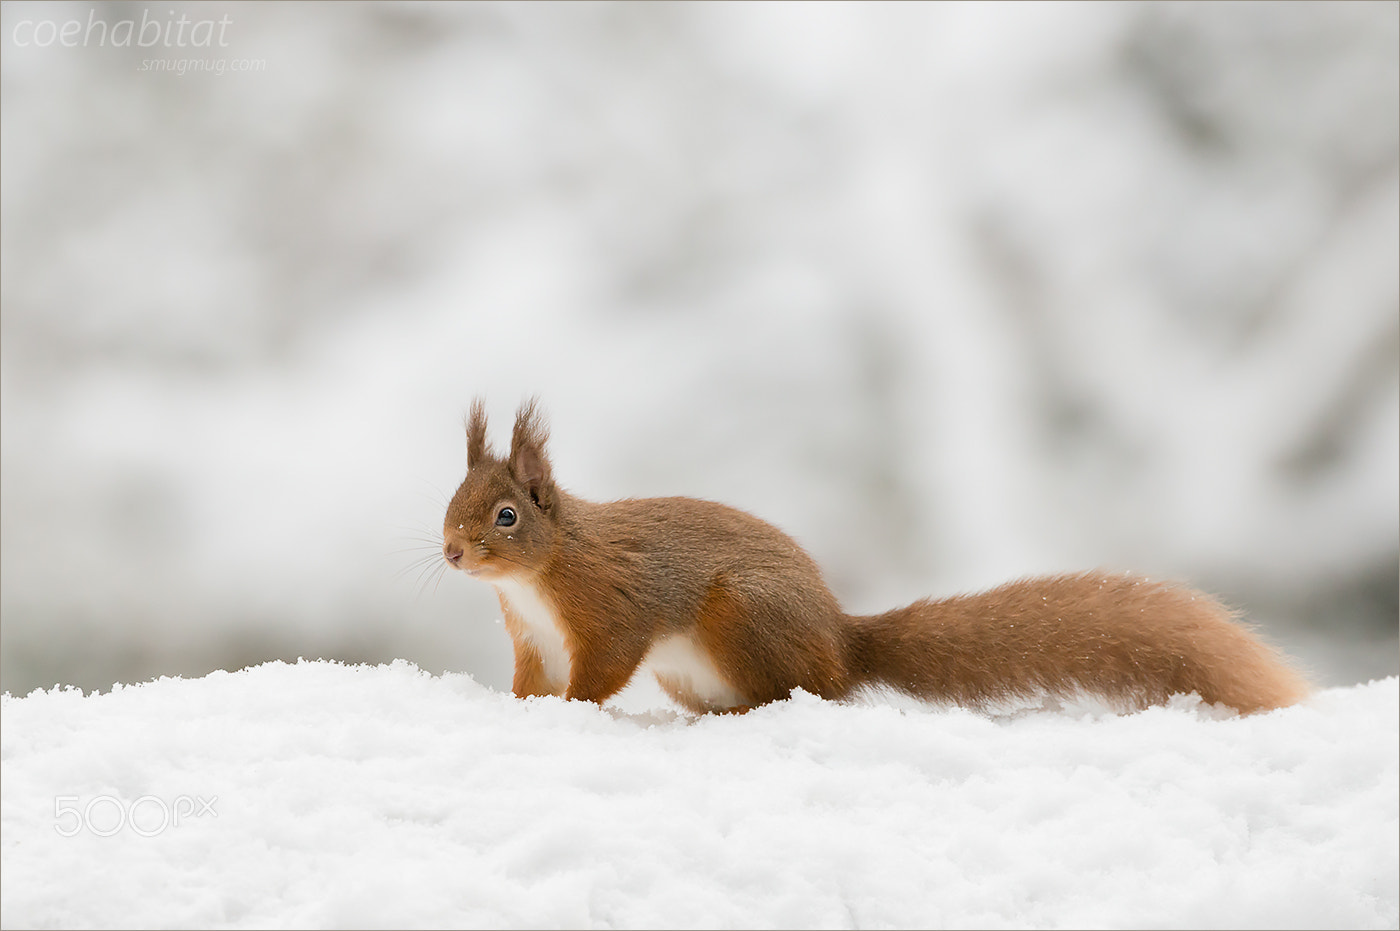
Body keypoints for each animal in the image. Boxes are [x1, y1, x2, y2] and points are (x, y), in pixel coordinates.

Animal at [441, 398, 1311, 715]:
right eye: (450, 500)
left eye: (507, 516)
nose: (450, 551)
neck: (539, 576)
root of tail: (842, 640)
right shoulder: (533, 639)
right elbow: (528, 682)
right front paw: (520, 708)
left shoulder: (612, 607)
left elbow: (603, 668)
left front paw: (573, 710)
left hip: (742, 614)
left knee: (803, 692)